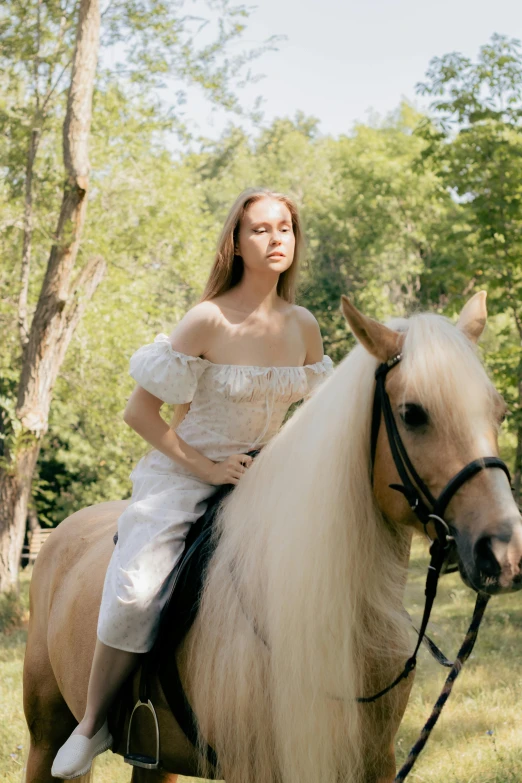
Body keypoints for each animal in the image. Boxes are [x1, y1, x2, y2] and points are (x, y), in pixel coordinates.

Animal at [21, 296, 520, 783]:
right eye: (412, 414)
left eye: (499, 412)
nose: (504, 552)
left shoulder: (376, 763)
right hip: (45, 737)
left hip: (156, 764)